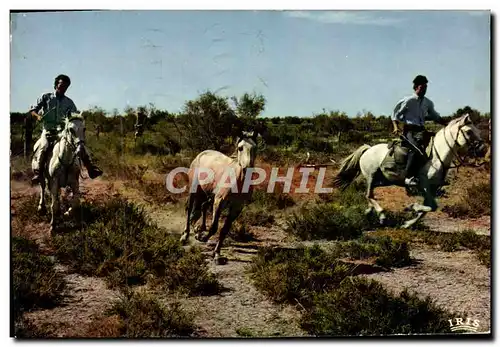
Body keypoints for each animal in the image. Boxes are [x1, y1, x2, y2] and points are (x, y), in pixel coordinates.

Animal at [180, 132, 258, 266]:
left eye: (255, 148)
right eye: (240, 148)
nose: (247, 168)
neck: (238, 180)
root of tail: (202, 153)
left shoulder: (237, 207)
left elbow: (224, 230)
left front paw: (216, 254)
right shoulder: (219, 201)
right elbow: (214, 227)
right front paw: (202, 238)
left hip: (208, 194)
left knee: (202, 206)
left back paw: (199, 229)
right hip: (194, 189)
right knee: (189, 209)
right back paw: (185, 236)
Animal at [334, 113, 486, 228]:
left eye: (478, 131)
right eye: (469, 131)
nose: (482, 149)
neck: (437, 158)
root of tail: (368, 148)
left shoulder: (432, 188)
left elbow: (429, 208)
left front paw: (407, 223)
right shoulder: (424, 184)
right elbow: (430, 207)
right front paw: (411, 207)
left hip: (384, 180)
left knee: (369, 196)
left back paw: (369, 211)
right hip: (371, 176)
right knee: (369, 195)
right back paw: (381, 215)